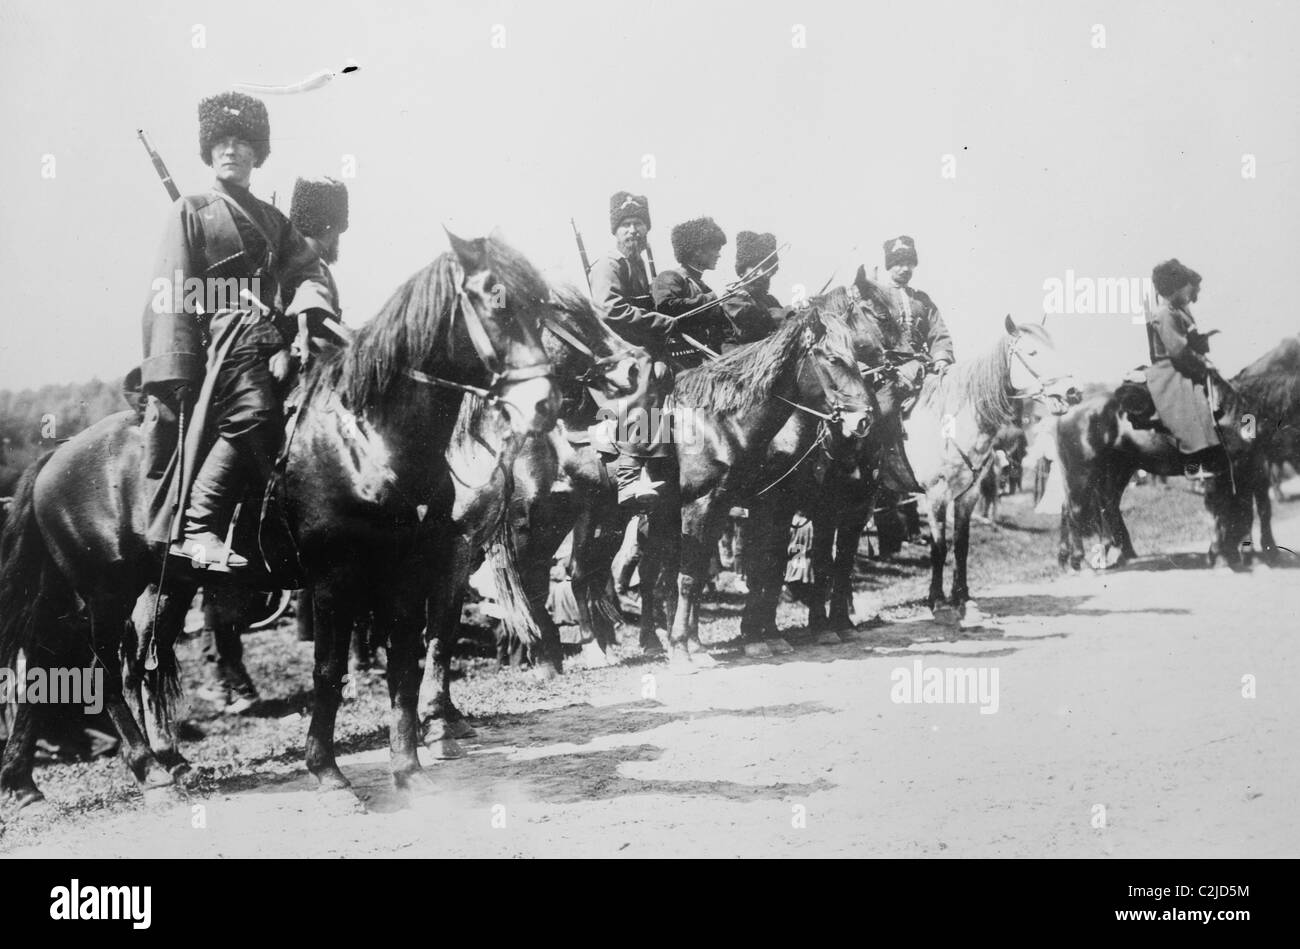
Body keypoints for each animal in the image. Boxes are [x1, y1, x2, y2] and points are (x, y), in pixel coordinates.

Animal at [0, 228, 559, 806]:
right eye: (496, 299)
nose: (545, 404)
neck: (368, 439)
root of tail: (54, 456)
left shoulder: (406, 571)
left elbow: (407, 662)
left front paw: (409, 770)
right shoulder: (338, 579)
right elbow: (330, 671)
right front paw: (328, 772)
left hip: (160, 584)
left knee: (112, 660)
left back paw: (96, 771)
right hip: (100, 589)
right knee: (97, 667)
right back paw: (143, 769)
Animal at [1050, 335, 1300, 566]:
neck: (1241, 405)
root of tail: (1069, 408)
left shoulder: (1252, 465)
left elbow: (1254, 508)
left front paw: (1254, 551)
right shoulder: (1235, 467)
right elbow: (1234, 509)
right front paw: (1229, 553)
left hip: (1115, 471)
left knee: (1106, 506)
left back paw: (1119, 552)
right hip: (1081, 473)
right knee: (1073, 508)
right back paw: (1077, 559)